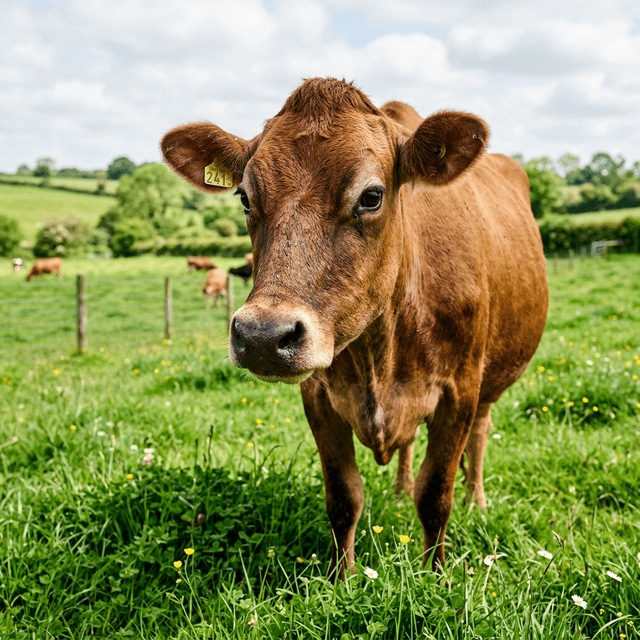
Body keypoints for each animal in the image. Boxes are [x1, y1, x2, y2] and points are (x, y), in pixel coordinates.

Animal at [162, 78, 548, 577]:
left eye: (371, 196)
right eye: (245, 197)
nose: (263, 336)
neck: (380, 352)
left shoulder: (459, 390)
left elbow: (436, 496)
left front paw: (436, 575)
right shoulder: (319, 397)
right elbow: (344, 496)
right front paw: (339, 578)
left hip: (487, 383)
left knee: (479, 438)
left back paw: (476, 502)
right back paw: (400, 488)